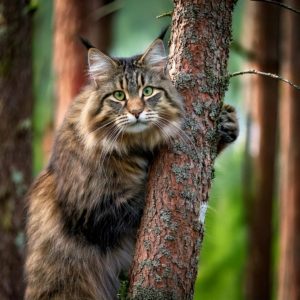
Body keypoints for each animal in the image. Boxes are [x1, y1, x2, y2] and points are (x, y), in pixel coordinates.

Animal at [24, 38, 239, 298]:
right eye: (119, 95)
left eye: (147, 91)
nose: (136, 112)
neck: (133, 144)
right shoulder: (92, 210)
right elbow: (137, 198)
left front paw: (227, 123)